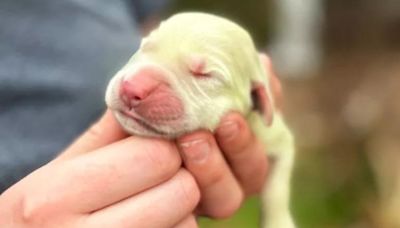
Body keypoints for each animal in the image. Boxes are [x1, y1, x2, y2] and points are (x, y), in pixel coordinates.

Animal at [104, 12, 296, 228]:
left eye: (204, 74)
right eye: (145, 47)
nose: (132, 88)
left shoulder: (274, 135)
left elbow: (277, 187)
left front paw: (279, 222)